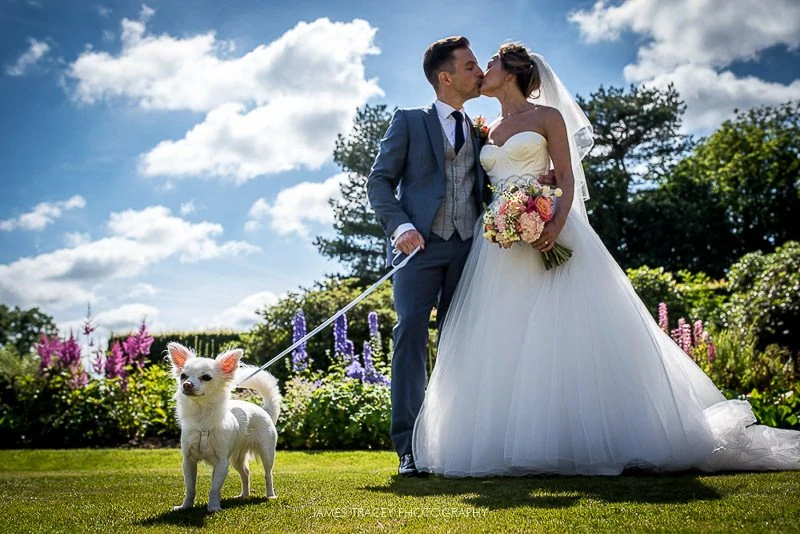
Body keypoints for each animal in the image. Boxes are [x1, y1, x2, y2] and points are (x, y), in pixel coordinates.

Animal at [167, 344, 282, 516]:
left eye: (206, 377)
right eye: (183, 376)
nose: (186, 384)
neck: (202, 415)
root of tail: (264, 409)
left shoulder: (221, 462)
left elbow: (214, 487)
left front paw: (214, 507)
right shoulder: (188, 461)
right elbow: (190, 487)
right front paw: (185, 506)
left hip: (266, 453)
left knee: (268, 474)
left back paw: (270, 495)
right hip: (236, 459)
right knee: (245, 473)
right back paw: (244, 495)